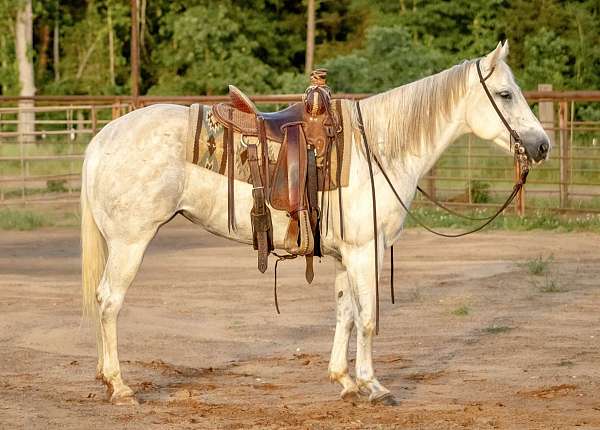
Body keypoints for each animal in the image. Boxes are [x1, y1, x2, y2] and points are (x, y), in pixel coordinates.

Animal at [82, 42, 552, 404]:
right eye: (505, 94)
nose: (542, 145)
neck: (378, 148)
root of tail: (102, 139)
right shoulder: (367, 250)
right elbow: (367, 317)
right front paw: (374, 386)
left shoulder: (348, 254)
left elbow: (345, 312)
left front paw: (344, 381)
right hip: (130, 243)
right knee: (109, 301)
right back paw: (120, 387)